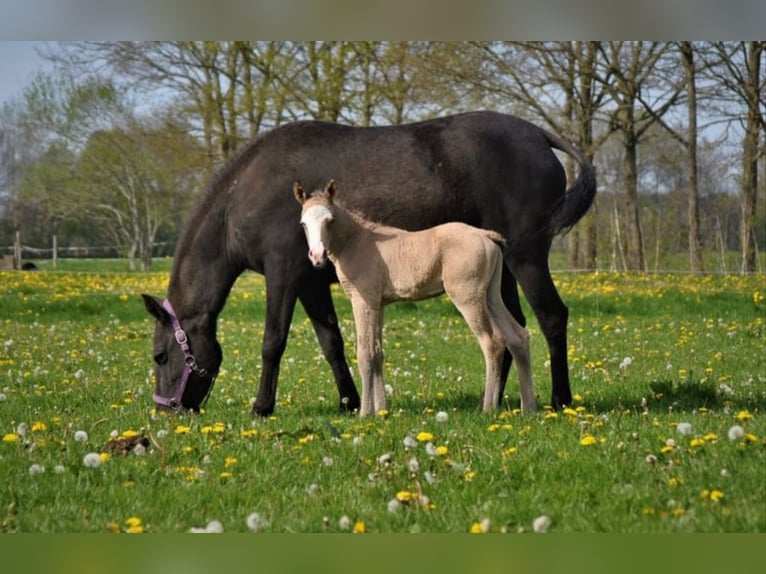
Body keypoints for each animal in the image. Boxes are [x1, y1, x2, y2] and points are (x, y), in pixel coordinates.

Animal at [294, 179, 536, 416]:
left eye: (330, 220)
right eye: (304, 224)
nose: (317, 257)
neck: (356, 241)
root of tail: (485, 235)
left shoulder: (363, 301)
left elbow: (364, 353)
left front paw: (365, 413)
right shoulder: (378, 305)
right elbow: (377, 353)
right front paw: (381, 410)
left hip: (468, 297)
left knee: (492, 342)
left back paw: (488, 409)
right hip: (490, 296)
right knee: (518, 337)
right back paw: (528, 408)